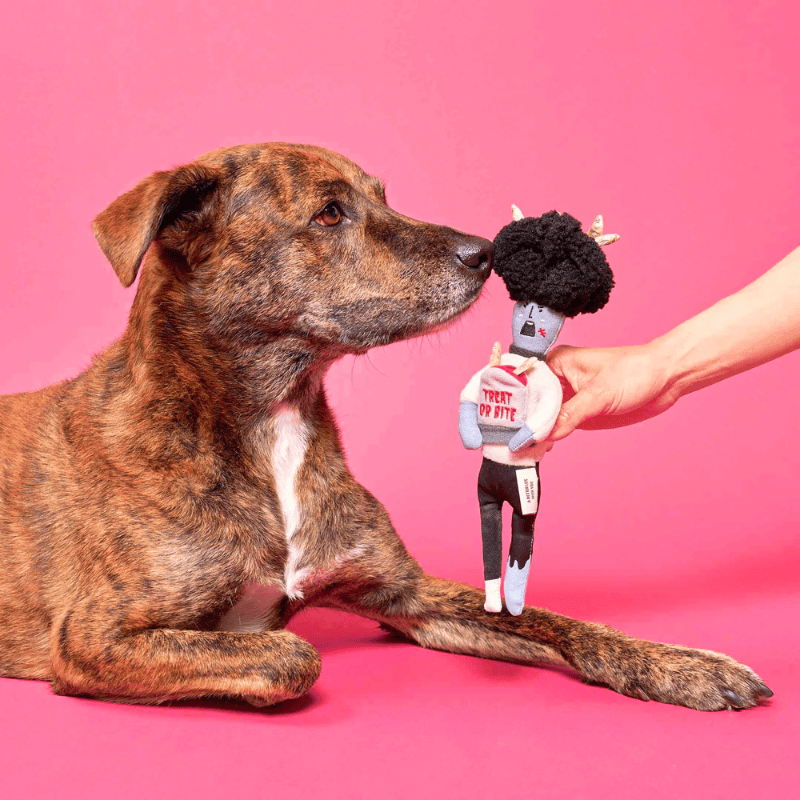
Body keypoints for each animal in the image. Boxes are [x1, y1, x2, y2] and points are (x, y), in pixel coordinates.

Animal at [1, 144, 776, 708]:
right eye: (328, 213)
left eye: (383, 194)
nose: (485, 252)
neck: (272, 422)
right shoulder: (96, 638)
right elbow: (291, 656)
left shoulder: (407, 594)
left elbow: (554, 619)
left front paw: (681, 664)